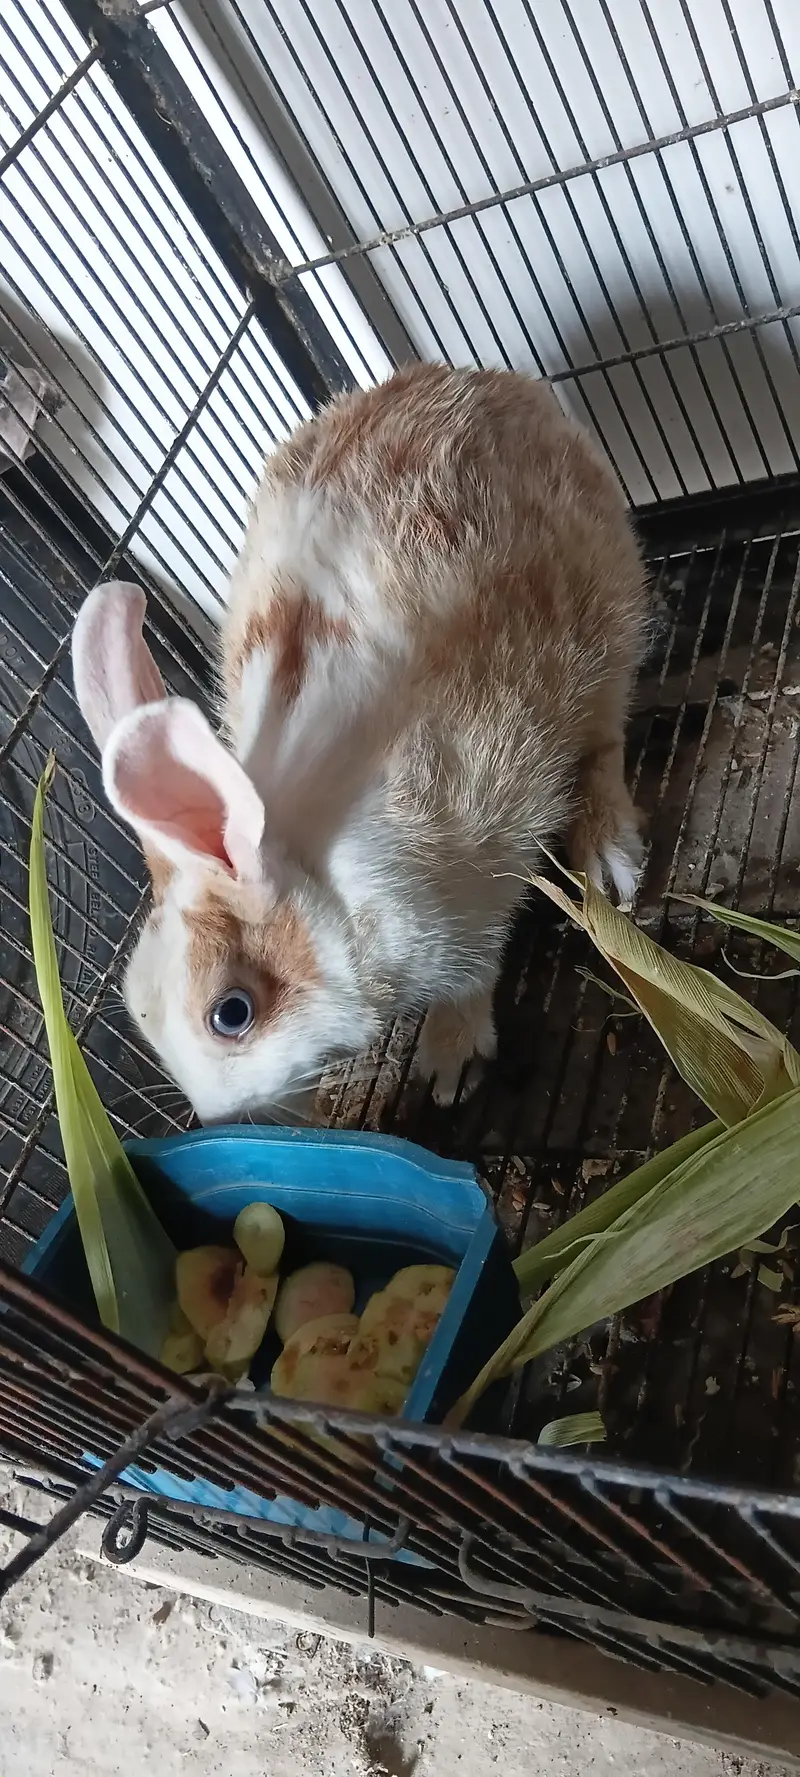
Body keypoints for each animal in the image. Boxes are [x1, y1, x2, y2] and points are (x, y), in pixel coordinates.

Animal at [71, 364, 647, 1125]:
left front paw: (449, 1062)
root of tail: (494, 381)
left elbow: (472, 975)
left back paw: (610, 861)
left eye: (231, 1013)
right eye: (138, 1012)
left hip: (606, 629)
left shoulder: (482, 873)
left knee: (606, 740)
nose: (220, 1120)